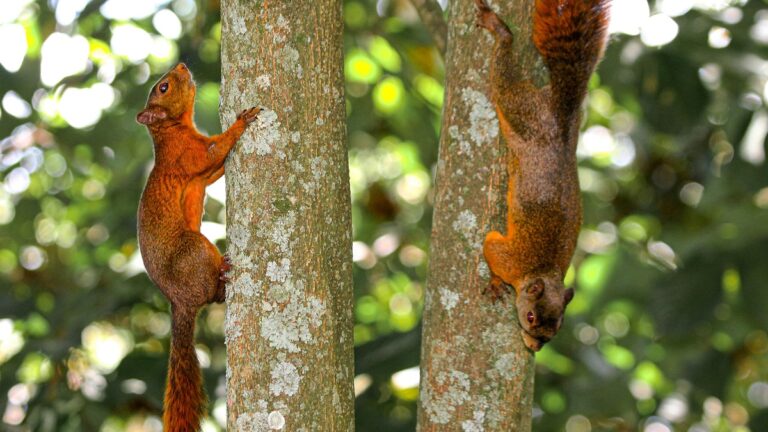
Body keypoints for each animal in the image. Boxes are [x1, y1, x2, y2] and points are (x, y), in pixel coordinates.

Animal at [136, 62, 260, 430]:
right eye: (163, 87)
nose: (181, 65)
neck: (171, 131)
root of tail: (180, 303)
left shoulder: (204, 173)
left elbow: (216, 169)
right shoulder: (192, 155)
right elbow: (218, 149)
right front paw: (241, 122)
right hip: (195, 248)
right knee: (212, 293)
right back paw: (223, 273)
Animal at [472, 0, 608, 352]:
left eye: (555, 330)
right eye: (531, 317)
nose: (533, 348)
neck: (543, 271)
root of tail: (561, 114)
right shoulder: (507, 258)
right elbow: (490, 245)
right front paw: (495, 283)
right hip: (522, 109)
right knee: (504, 81)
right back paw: (500, 30)